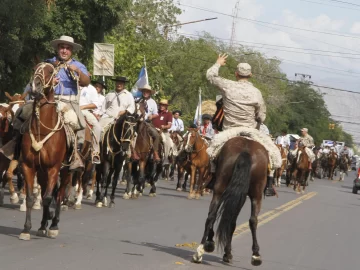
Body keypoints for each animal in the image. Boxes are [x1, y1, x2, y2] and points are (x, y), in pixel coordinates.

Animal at [19, 62, 71, 240]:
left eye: (50, 71)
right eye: (34, 68)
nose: (35, 86)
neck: (41, 129)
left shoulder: (54, 168)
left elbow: (49, 198)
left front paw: (51, 217)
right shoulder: (29, 166)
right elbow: (30, 198)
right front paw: (26, 229)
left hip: (67, 171)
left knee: (60, 194)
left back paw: (54, 224)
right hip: (42, 172)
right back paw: (43, 225)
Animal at [193, 136, 268, 264]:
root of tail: (246, 151)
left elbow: (227, 220)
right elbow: (232, 222)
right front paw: (227, 253)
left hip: (222, 189)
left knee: (212, 215)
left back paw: (201, 250)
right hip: (255, 194)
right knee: (252, 220)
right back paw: (255, 255)